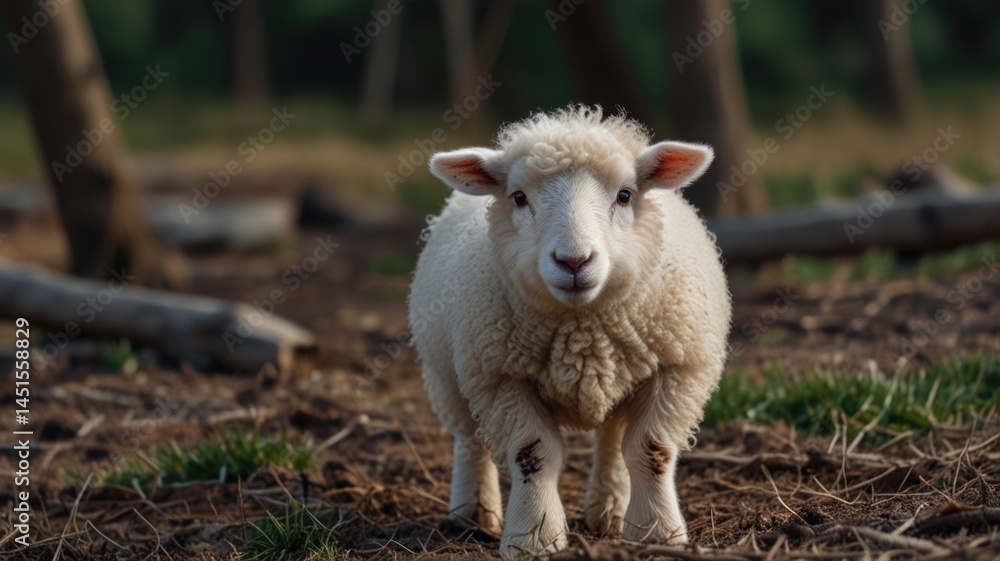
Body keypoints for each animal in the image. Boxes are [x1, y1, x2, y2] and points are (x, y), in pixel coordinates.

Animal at [408, 105, 731, 557]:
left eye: (625, 195)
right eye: (519, 197)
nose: (574, 261)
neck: (583, 330)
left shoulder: (679, 371)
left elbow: (650, 450)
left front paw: (657, 532)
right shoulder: (500, 378)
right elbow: (533, 454)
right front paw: (534, 537)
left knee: (613, 440)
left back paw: (609, 512)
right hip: (448, 374)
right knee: (470, 441)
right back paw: (472, 515)